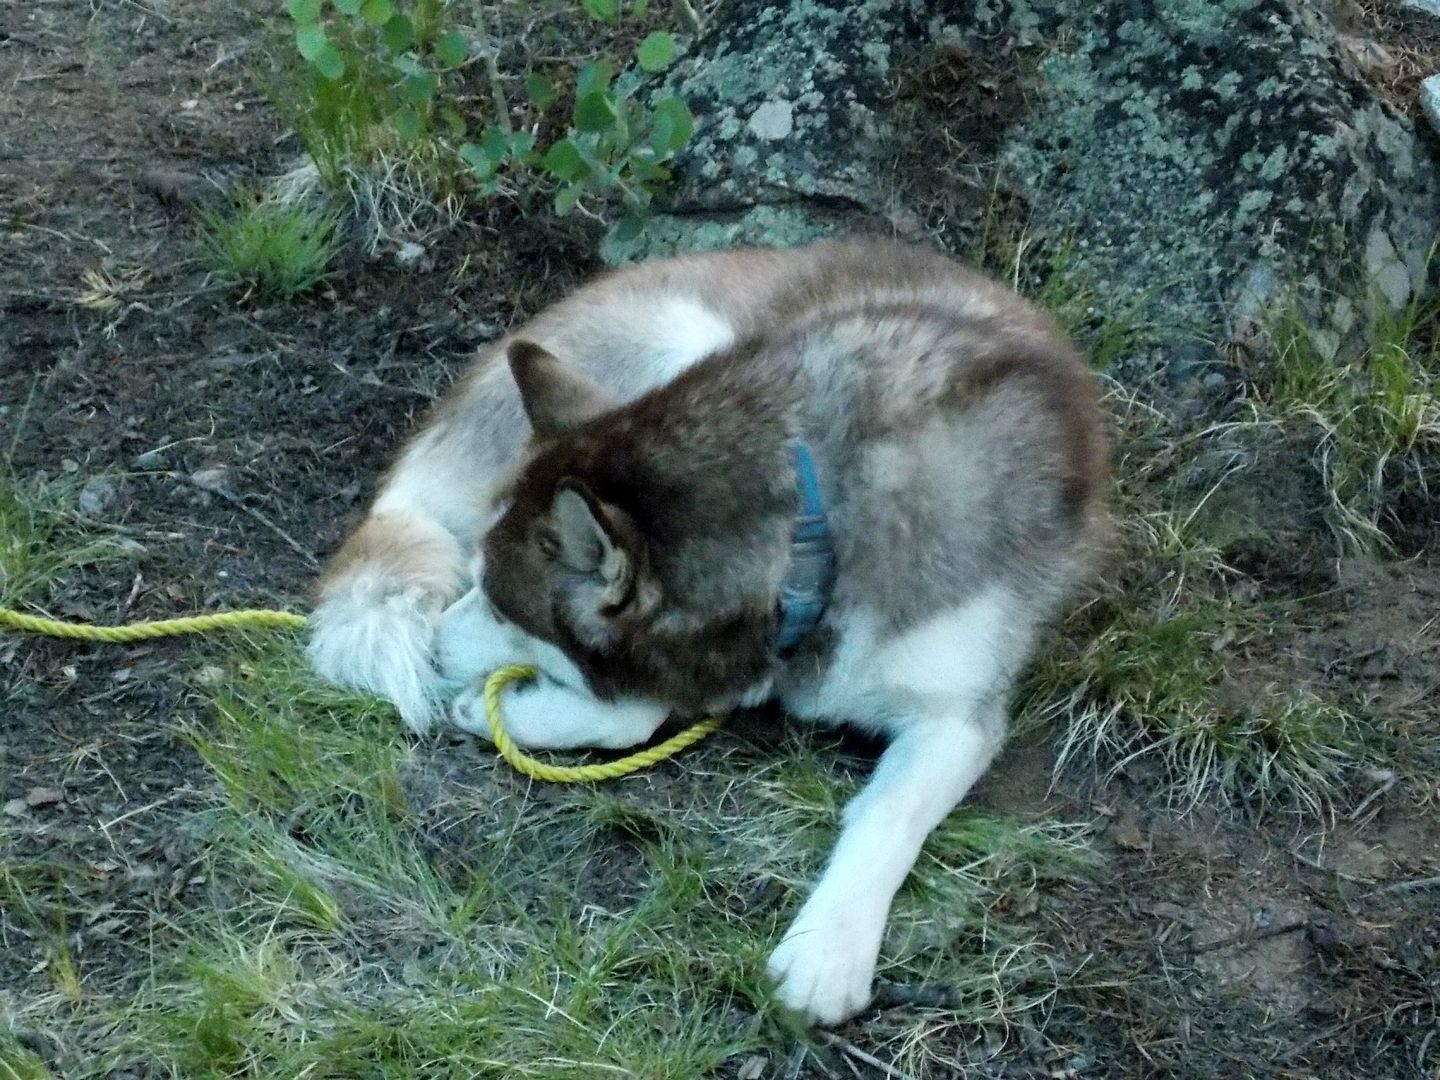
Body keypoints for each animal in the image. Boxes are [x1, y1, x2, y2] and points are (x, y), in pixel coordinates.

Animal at [309, 240, 1105, 1025]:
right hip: (683, 337)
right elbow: (645, 703)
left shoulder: (959, 711)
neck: (816, 534)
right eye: (474, 582)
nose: (434, 646)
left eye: (503, 609)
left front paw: (828, 947)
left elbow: (890, 812)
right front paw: (512, 705)